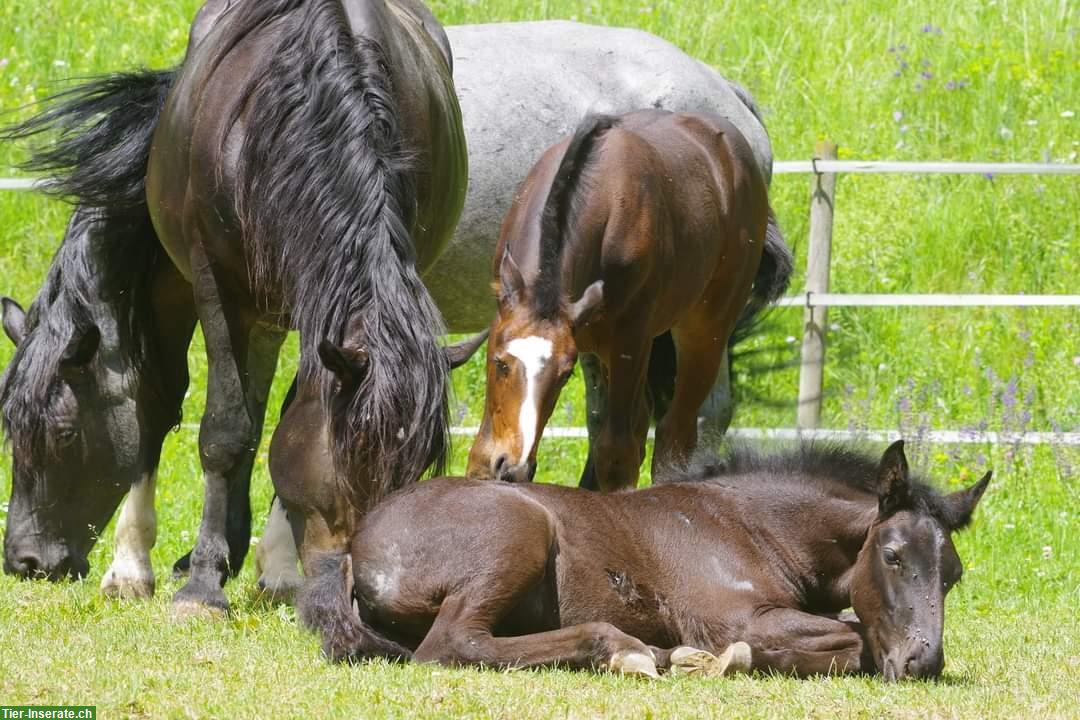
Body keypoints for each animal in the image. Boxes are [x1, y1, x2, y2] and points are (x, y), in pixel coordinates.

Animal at [302, 440, 989, 682]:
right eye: (893, 556)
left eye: (952, 576)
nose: (924, 663)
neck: (753, 525)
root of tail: (357, 547)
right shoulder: (739, 619)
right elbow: (853, 644)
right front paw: (731, 660)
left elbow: (852, 632)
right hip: (517, 535)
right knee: (454, 643)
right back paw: (624, 649)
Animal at [468, 111, 790, 490]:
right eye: (500, 363)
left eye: (564, 375)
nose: (513, 467)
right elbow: (480, 452)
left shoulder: (630, 341)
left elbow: (616, 453)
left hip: (704, 330)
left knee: (674, 433)